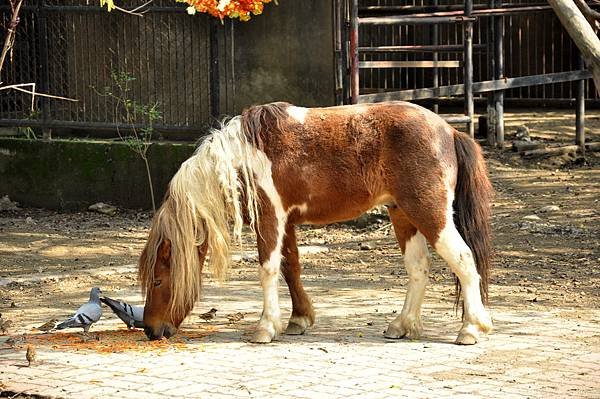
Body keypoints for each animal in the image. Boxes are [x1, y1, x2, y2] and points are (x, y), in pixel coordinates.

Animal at [139, 101, 492, 346]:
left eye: (157, 280)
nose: (151, 330)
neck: (243, 156)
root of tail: (450, 131)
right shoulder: (287, 221)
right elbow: (290, 267)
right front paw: (299, 319)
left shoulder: (270, 217)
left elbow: (267, 270)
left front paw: (266, 327)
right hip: (403, 215)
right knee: (418, 268)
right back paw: (402, 326)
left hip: (430, 214)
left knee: (463, 260)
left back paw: (471, 328)